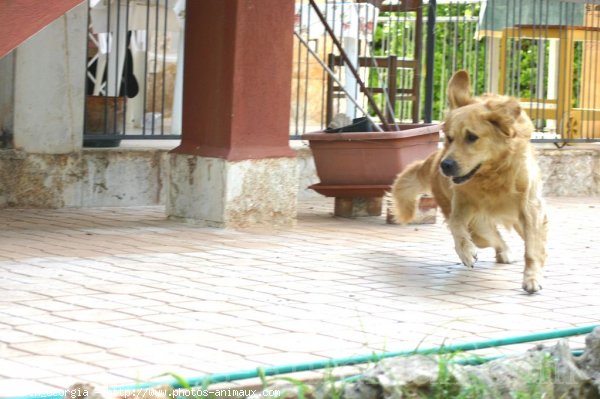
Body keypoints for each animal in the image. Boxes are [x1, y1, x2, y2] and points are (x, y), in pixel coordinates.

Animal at [390, 69, 548, 294]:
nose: (446, 165)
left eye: (472, 137)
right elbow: (456, 224)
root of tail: (434, 160)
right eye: (449, 138)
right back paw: (502, 252)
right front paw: (465, 251)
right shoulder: (464, 205)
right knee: (492, 237)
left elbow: (533, 246)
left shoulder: (530, 208)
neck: (492, 175)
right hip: (477, 225)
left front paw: (532, 278)